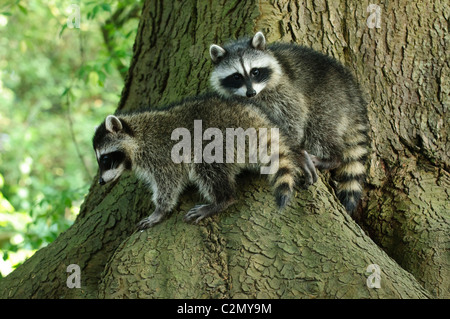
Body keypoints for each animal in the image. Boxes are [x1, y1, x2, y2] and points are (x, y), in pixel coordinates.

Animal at [93, 94, 308, 231]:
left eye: (105, 159)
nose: (101, 182)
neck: (137, 136)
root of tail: (254, 120)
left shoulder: (161, 154)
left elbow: (169, 183)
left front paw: (160, 210)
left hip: (222, 141)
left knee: (206, 167)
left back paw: (222, 199)